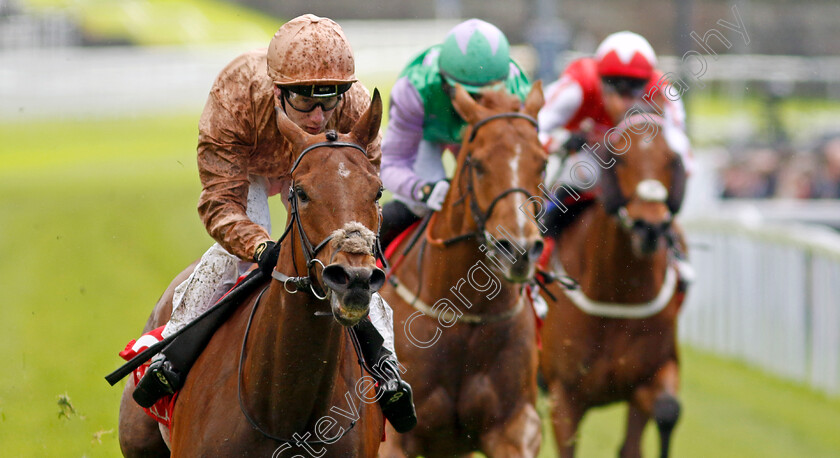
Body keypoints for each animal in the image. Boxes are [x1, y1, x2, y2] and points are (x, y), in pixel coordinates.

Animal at [378, 84, 548, 456]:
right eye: (478, 164)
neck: (463, 313)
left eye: (543, 163)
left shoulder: (513, 427)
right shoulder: (394, 437)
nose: (518, 250)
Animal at [540, 113, 688, 458]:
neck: (618, 292)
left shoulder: (652, 373)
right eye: (618, 158)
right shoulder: (564, 395)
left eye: (671, 159)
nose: (650, 227)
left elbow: (667, 411)